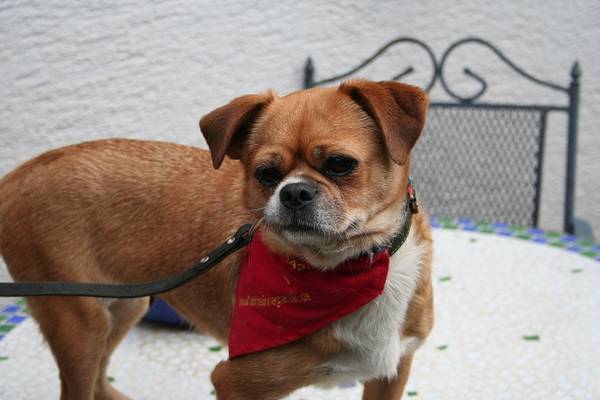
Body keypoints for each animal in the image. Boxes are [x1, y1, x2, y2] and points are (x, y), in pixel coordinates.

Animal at [0, 79, 433, 400]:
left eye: (340, 164)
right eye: (265, 174)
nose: (293, 192)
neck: (355, 268)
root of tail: (15, 177)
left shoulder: (391, 374)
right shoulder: (235, 383)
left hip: (123, 307)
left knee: (98, 381)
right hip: (79, 323)